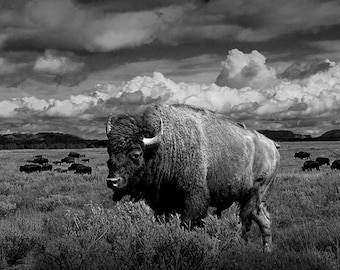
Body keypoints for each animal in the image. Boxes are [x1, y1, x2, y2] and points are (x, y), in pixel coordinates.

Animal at [105, 104, 278, 253]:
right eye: (109, 151)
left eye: (136, 154)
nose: (113, 181)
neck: (166, 145)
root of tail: (272, 147)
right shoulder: (162, 203)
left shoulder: (193, 200)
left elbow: (187, 224)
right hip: (254, 199)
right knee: (264, 219)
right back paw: (267, 251)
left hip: (253, 195)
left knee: (244, 221)